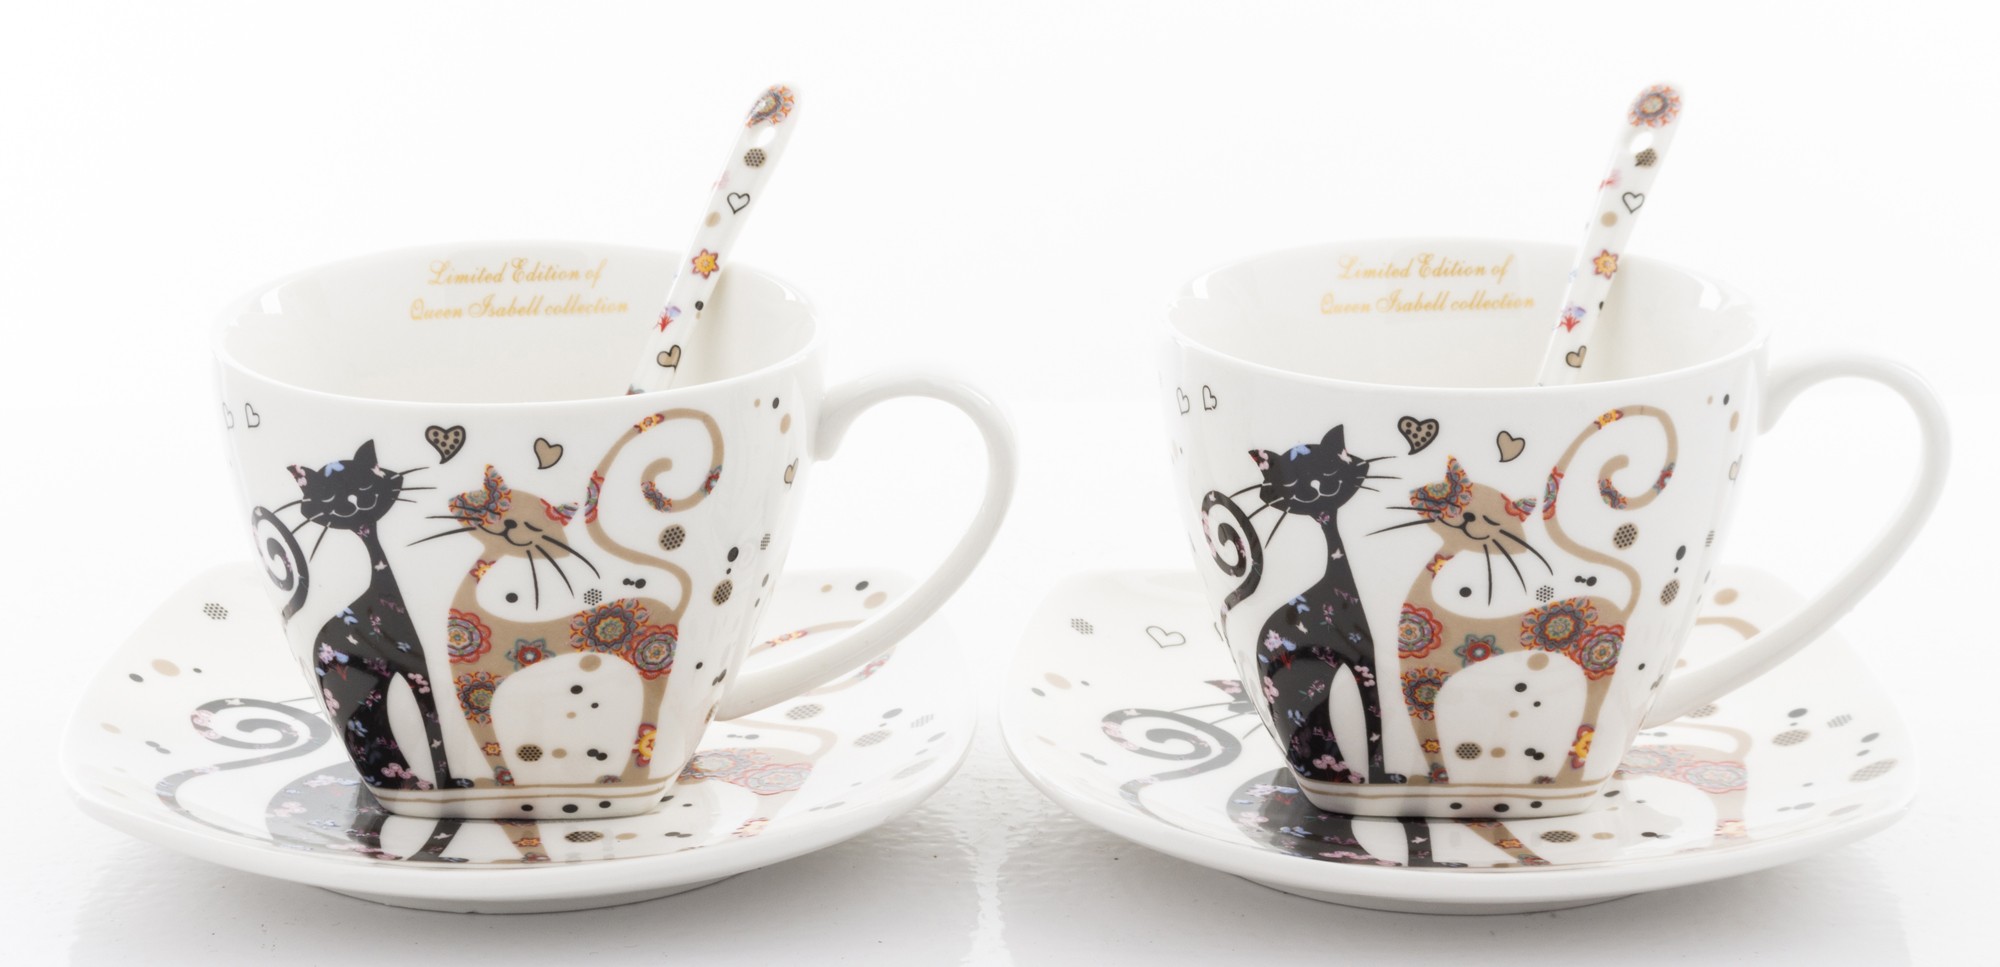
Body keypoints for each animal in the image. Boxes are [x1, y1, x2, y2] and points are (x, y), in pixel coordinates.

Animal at [257, 440, 464, 791]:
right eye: (328, 497)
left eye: (367, 484)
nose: (352, 499)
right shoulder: (415, 669)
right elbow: (433, 730)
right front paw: (445, 784)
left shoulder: (418, 668)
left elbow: (433, 726)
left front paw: (449, 782)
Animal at [414, 408, 724, 788]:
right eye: (491, 507)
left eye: (534, 526)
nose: (510, 526)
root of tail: (673, 607)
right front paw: (497, 783)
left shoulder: (475, 691)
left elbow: (489, 745)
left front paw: (503, 781)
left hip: (655, 666)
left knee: (649, 725)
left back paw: (625, 778)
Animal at [1199, 425, 1405, 785]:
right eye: (1292, 480)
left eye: (1330, 468)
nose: (1316, 485)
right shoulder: (1363, 659)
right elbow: (1374, 724)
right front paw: (1379, 777)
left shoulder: (1364, 660)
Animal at [1387, 406, 1676, 783]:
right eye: (1450, 498)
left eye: (1493, 520)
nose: (1467, 516)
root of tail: (1621, 608)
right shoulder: (1418, 687)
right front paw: (1433, 780)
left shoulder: (1421, 687)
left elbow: (1429, 743)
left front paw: (1438, 779)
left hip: (1599, 668)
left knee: (1589, 725)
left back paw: (1566, 778)